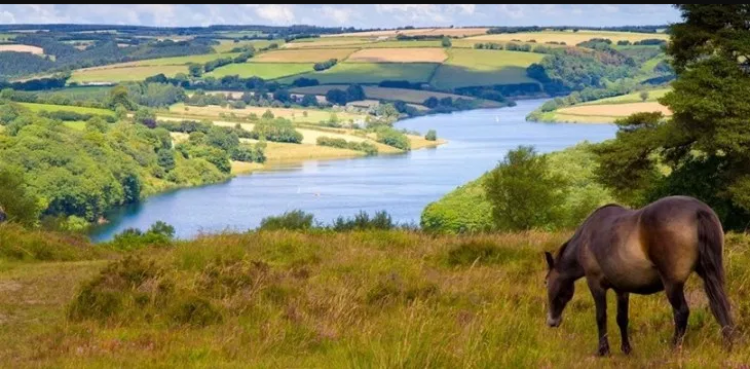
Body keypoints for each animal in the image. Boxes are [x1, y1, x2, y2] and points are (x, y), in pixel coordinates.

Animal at [548, 194, 736, 356]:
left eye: (547, 283)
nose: (551, 321)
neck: (587, 237)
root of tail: (698, 211)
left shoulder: (596, 285)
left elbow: (601, 317)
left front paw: (603, 351)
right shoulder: (621, 289)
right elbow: (622, 319)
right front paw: (626, 349)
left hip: (672, 285)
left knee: (681, 312)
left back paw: (674, 347)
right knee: (720, 305)